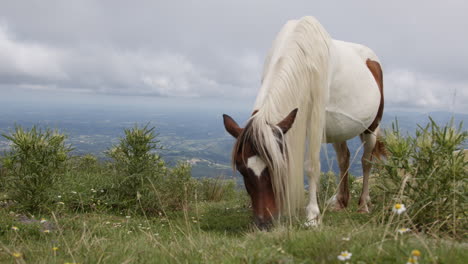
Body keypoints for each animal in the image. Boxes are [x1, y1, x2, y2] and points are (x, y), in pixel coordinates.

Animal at [221, 16, 386, 230]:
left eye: (276, 167)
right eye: (241, 169)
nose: (263, 223)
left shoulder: (313, 124)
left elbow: (311, 166)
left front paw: (312, 216)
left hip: (372, 126)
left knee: (366, 161)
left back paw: (364, 204)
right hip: (337, 129)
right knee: (344, 158)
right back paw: (341, 201)